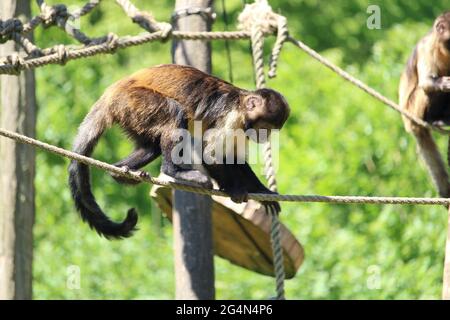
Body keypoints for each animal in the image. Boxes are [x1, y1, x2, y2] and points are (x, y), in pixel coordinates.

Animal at [68, 63, 290, 239]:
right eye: (265, 127)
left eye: (270, 130)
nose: (265, 137)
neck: (241, 103)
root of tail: (112, 91)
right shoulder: (232, 117)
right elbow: (210, 154)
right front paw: (232, 189)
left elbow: (233, 157)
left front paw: (262, 192)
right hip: (133, 101)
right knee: (175, 112)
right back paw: (174, 171)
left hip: (131, 113)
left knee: (152, 147)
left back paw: (120, 171)